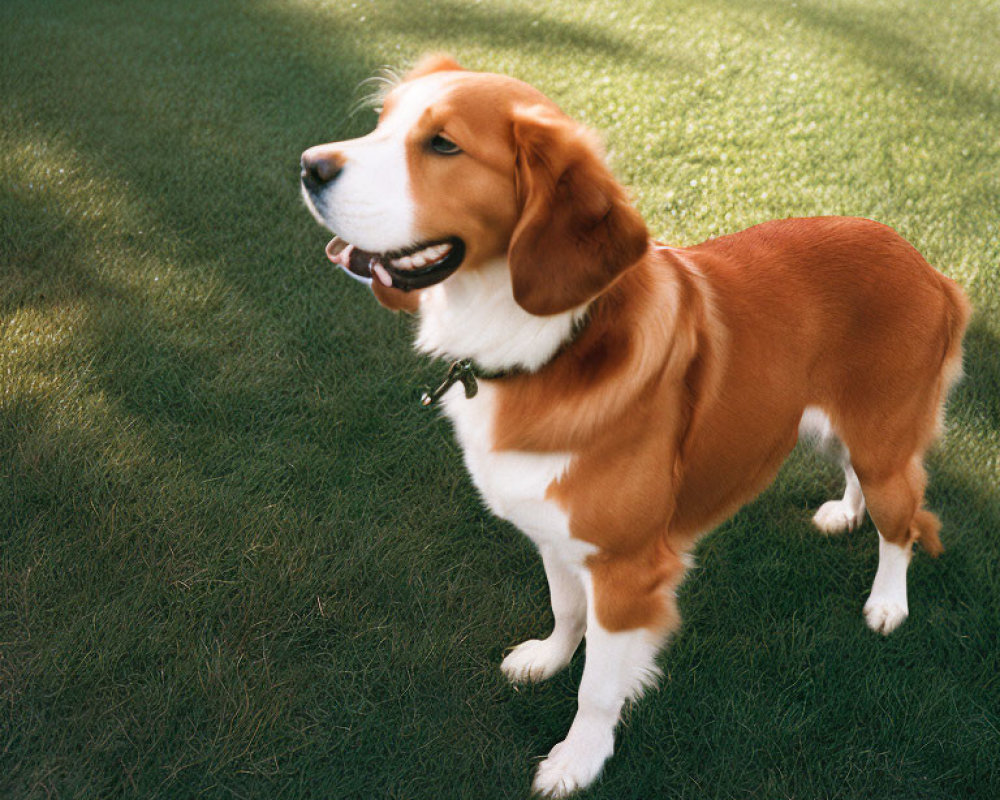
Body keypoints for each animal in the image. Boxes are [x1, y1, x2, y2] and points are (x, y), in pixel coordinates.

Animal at [298, 54, 968, 792]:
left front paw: (578, 759)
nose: (308, 166)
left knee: (903, 521)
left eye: (443, 145)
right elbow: (566, 610)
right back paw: (846, 512)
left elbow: (599, 685)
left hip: (884, 439)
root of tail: (927, 266)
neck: (542, 343)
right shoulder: (555, 533)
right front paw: (548, 657)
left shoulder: (628, 571)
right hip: (836, 423)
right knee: (859, 478)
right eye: (380, 122)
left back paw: (888, 601)